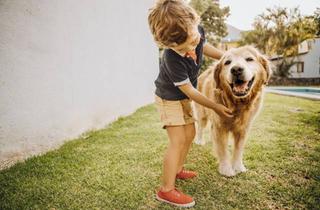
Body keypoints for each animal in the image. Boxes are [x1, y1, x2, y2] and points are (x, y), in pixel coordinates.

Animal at [194, 46, 272, 177]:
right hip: (202, 112)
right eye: (227, 62)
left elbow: (238, 149)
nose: (236, 70)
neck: (237, 103)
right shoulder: (219, 126)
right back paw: (199, 141)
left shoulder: (243, 128)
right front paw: (226, 169)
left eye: (249, 59)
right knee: (200, 126)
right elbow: (223, 149)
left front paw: (238, 167)